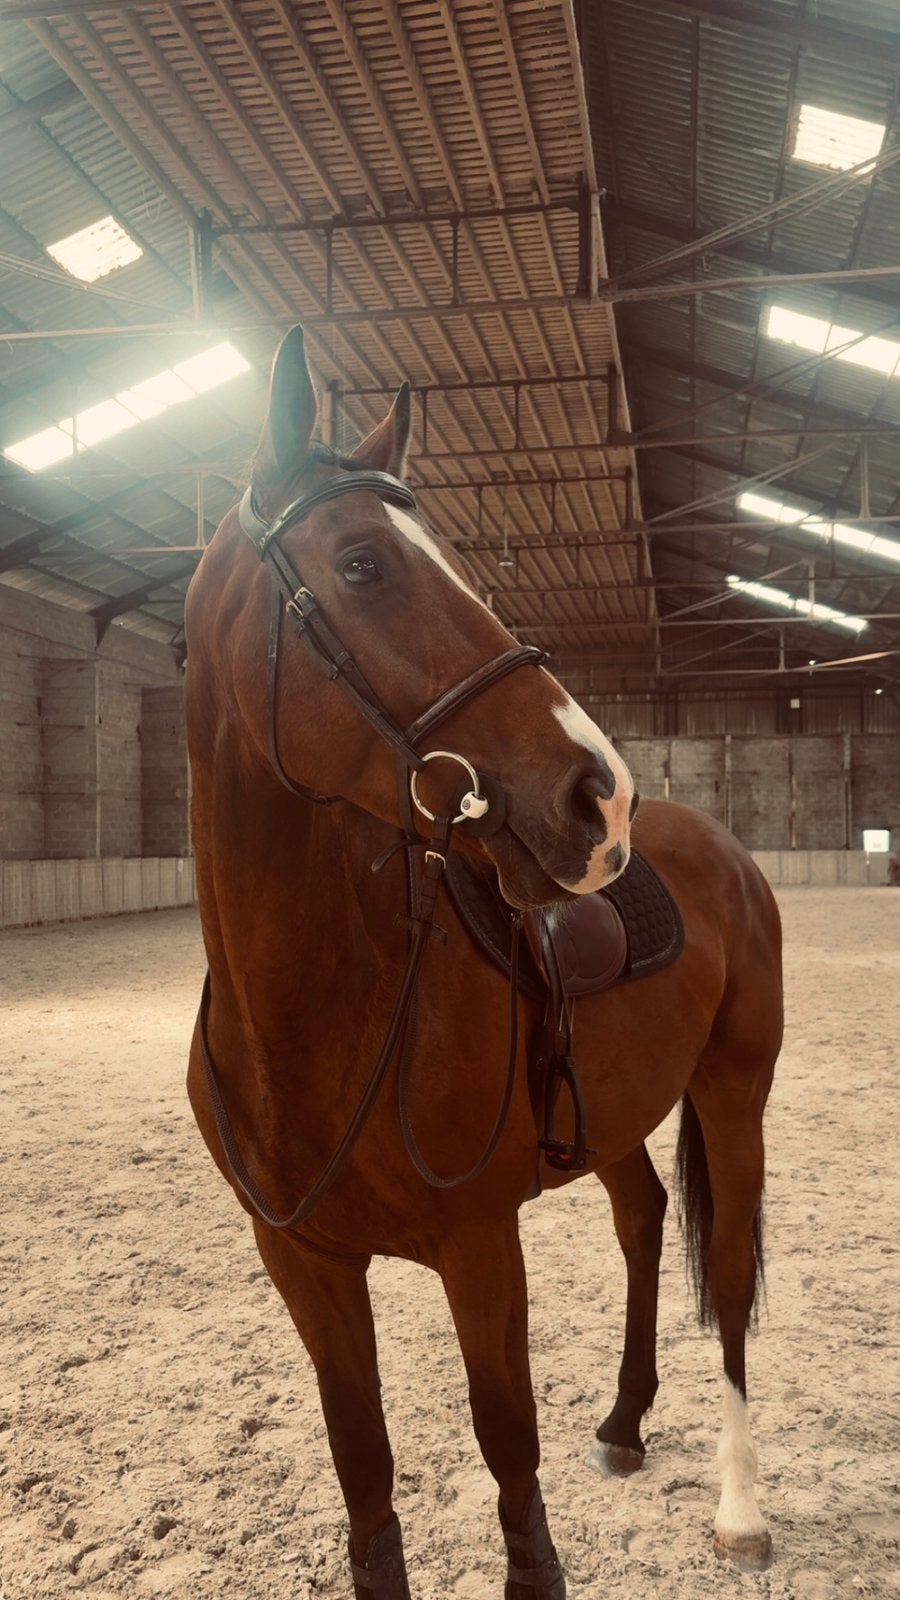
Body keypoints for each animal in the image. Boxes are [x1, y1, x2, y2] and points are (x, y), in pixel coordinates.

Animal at [184, 325, 783, 1599]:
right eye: (362, 563)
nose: (599, 793)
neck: (319, 1017)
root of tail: (719, 846)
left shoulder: (477, 1244)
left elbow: (508, 1444)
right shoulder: (304, 1261)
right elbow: (364, 1466)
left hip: (734, 1092)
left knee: (732, 1280)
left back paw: (742, 1509)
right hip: (614, 1119)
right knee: (645, 1216)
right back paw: (624, 1420)